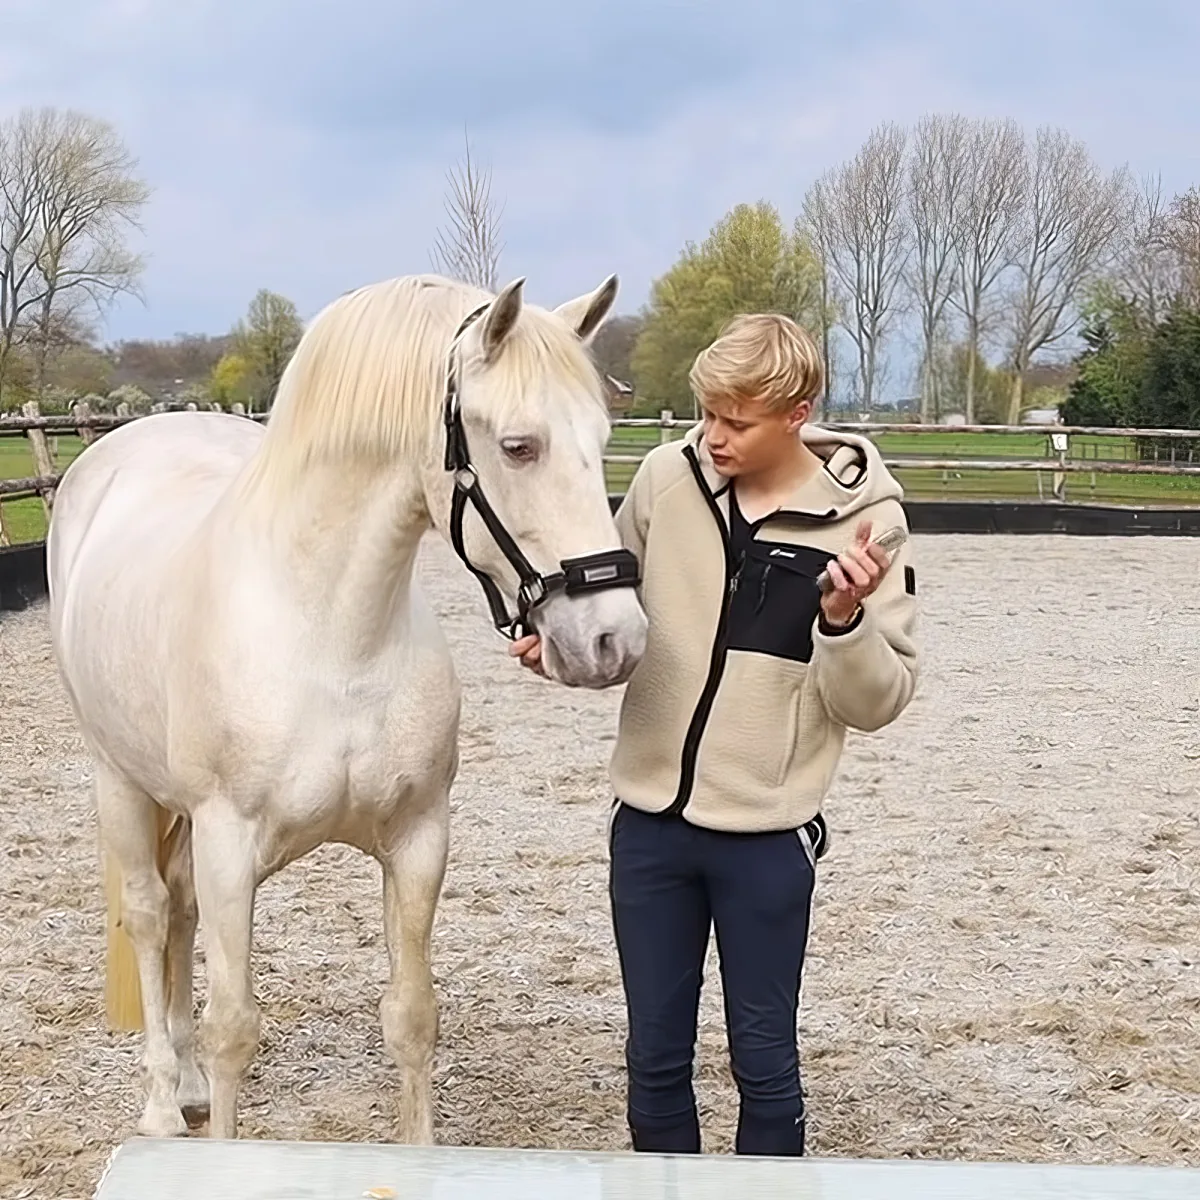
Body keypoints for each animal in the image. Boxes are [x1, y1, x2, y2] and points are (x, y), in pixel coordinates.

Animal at [45, 272, 649, 1144]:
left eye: (602, 439)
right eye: (518, 446)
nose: (615, 639)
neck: (331, 635)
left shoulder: (419, 839)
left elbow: (413, 1016)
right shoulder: (230, 846)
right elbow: (235, 1027)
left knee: (180, 913)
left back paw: (186, 1084)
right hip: (118, 782)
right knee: (154, 913)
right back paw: (163, 1102)